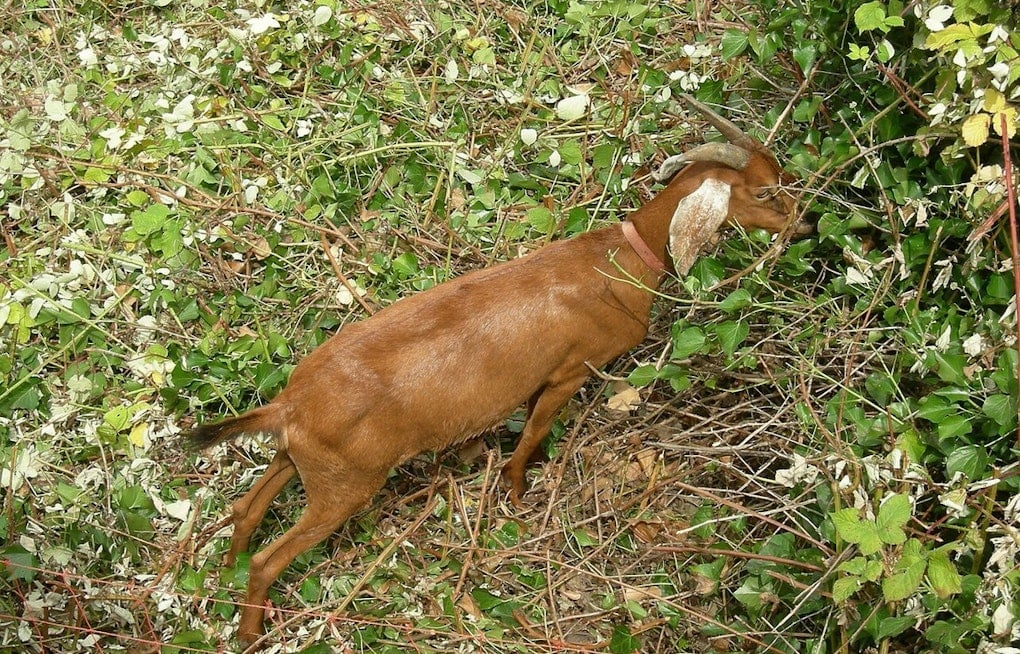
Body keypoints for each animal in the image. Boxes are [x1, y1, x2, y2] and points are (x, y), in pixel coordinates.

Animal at [183, 94, 805, 645]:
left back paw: (222, 579)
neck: (617, 260)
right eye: (762, 189)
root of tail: (290, 404)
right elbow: (531, 433)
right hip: (345, 487)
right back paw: (249, 632)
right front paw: (516, 489)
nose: (802, 224)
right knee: (269, 560)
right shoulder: (570, 371)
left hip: (300, 460)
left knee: (245, 510)